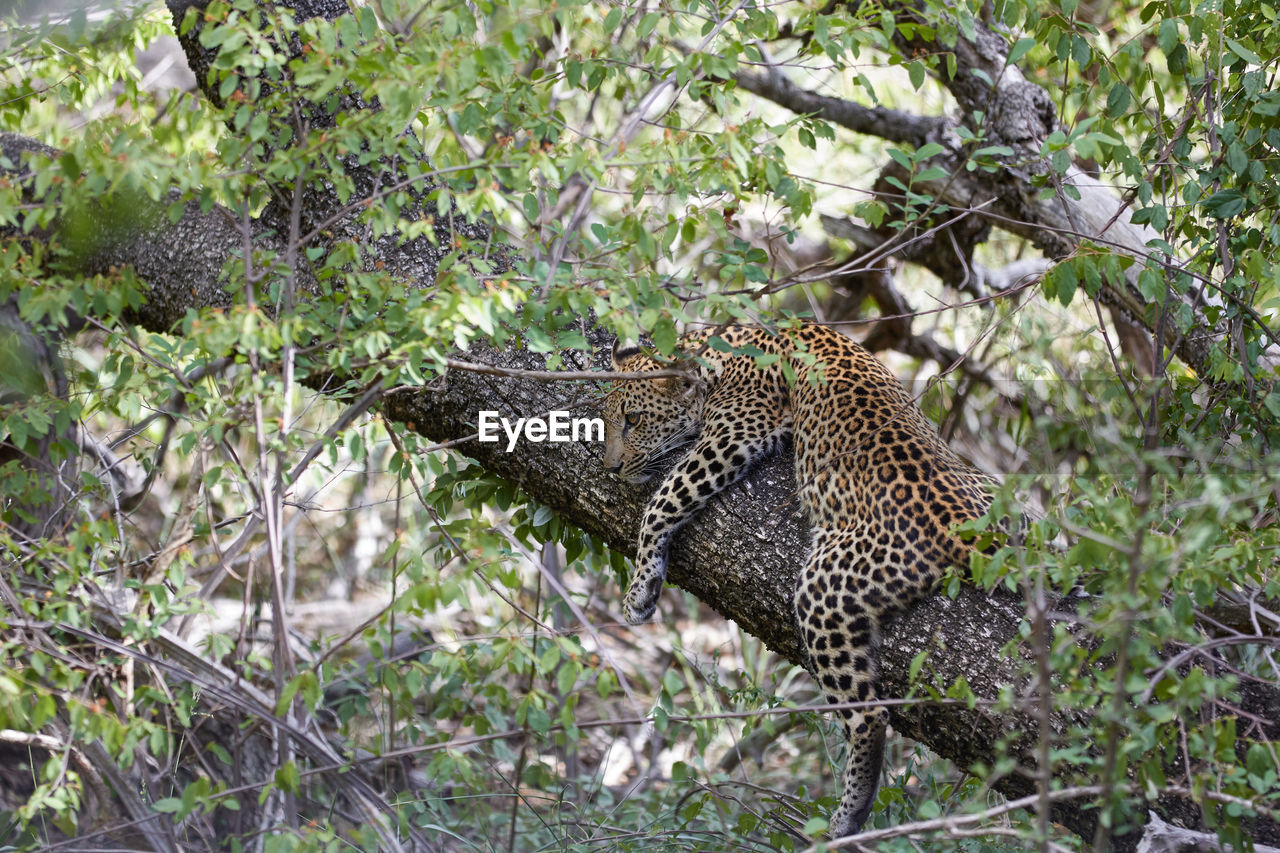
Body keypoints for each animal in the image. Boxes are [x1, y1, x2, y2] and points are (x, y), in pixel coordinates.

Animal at [604, 322, 993, 835]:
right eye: (606, 419)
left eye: (632, 419)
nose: (609, 467)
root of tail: (969, 525)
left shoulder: (733, 433)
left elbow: (663, 500)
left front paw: (641, 589)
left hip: (823, 590)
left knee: (869, 715)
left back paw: (848, 816)